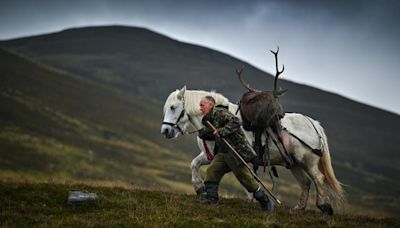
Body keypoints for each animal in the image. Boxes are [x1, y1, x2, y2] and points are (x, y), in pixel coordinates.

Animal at [160, 86, 344, 215]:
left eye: (173, 107)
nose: (165, 131)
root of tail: (314, 124)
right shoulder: (210, 154)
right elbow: (194, 164)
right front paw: (199, 188)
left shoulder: (236, 155)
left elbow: (244, 176)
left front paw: (251, 199)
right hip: (294, 163)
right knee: (305, 182)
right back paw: (299, 208)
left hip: (308, 160)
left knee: (318, 179)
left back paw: (324, 206)